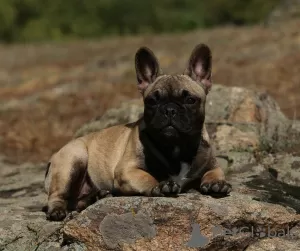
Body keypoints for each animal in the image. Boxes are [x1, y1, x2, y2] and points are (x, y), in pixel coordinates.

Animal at [44, 44, 232, 221]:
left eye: (190, 100)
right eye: (152, 101)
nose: (169, 109)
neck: (176, 146)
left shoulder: (211, 164)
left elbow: (214, 172)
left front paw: (217, 183)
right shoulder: (127, 171)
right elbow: (147, 177)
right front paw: (160, 185)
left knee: (77, 201)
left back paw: (96, 196)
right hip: (74, 158)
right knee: (57, 196)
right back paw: (57, 211)